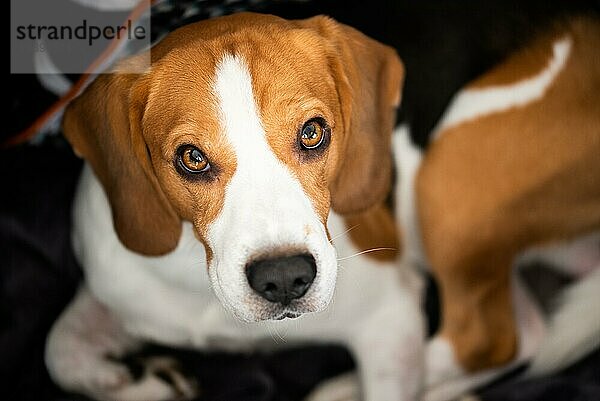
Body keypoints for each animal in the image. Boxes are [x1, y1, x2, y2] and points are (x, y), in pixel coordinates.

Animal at [45, 11, 426, 400]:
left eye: (312, 133)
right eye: (192, 157)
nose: (284, 276)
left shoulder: (391, 320)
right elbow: (61, 353)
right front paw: (149, 383)